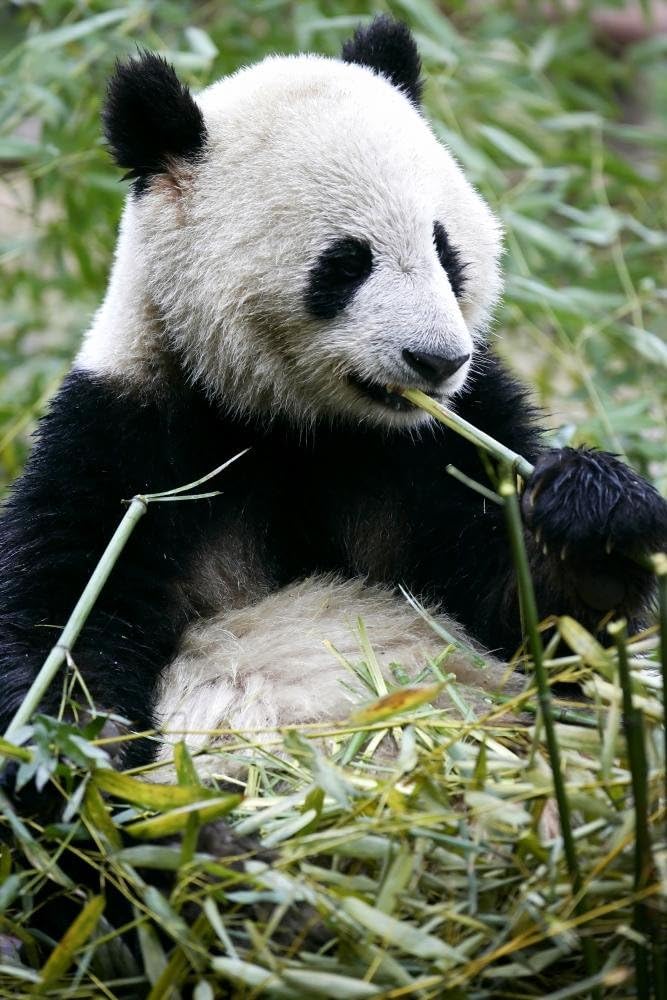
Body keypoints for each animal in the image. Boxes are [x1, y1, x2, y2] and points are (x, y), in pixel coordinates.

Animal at [1, 16, 665, 780]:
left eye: (445, 250)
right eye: (346, 264)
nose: (437, 361)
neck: (300, 422)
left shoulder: (451, 435)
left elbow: (536, 621)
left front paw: (594, 507)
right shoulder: (128, 433)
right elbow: (67, 610)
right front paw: (64, 747)